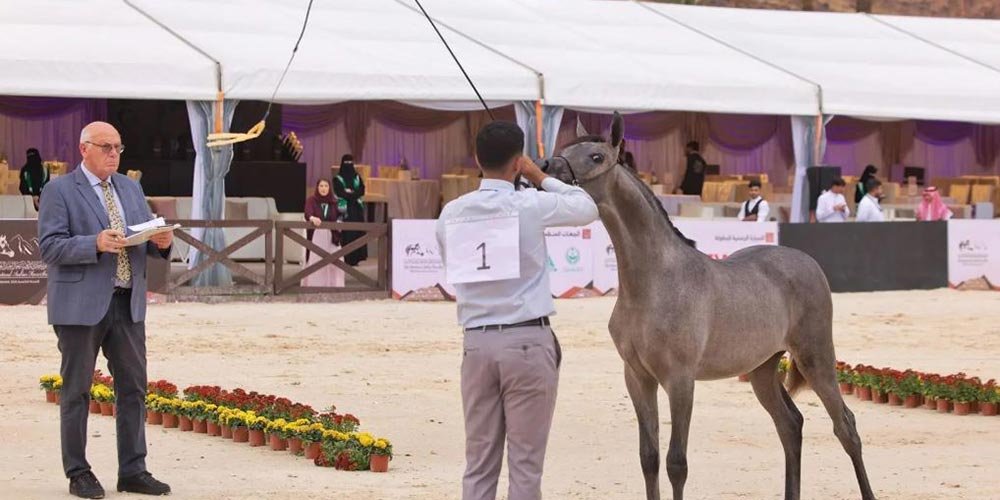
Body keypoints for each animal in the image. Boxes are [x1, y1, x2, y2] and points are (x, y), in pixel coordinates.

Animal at [543, 112, 876, 500]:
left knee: (845, 427)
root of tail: (807, 261)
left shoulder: (680, 380)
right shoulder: (638, 377)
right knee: (790, 424)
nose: (545, 167)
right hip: (763, 369)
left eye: (596, 157)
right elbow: (649, 457)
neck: (654, 281)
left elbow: (676, 463)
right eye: (566, 148)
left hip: (815, 357)